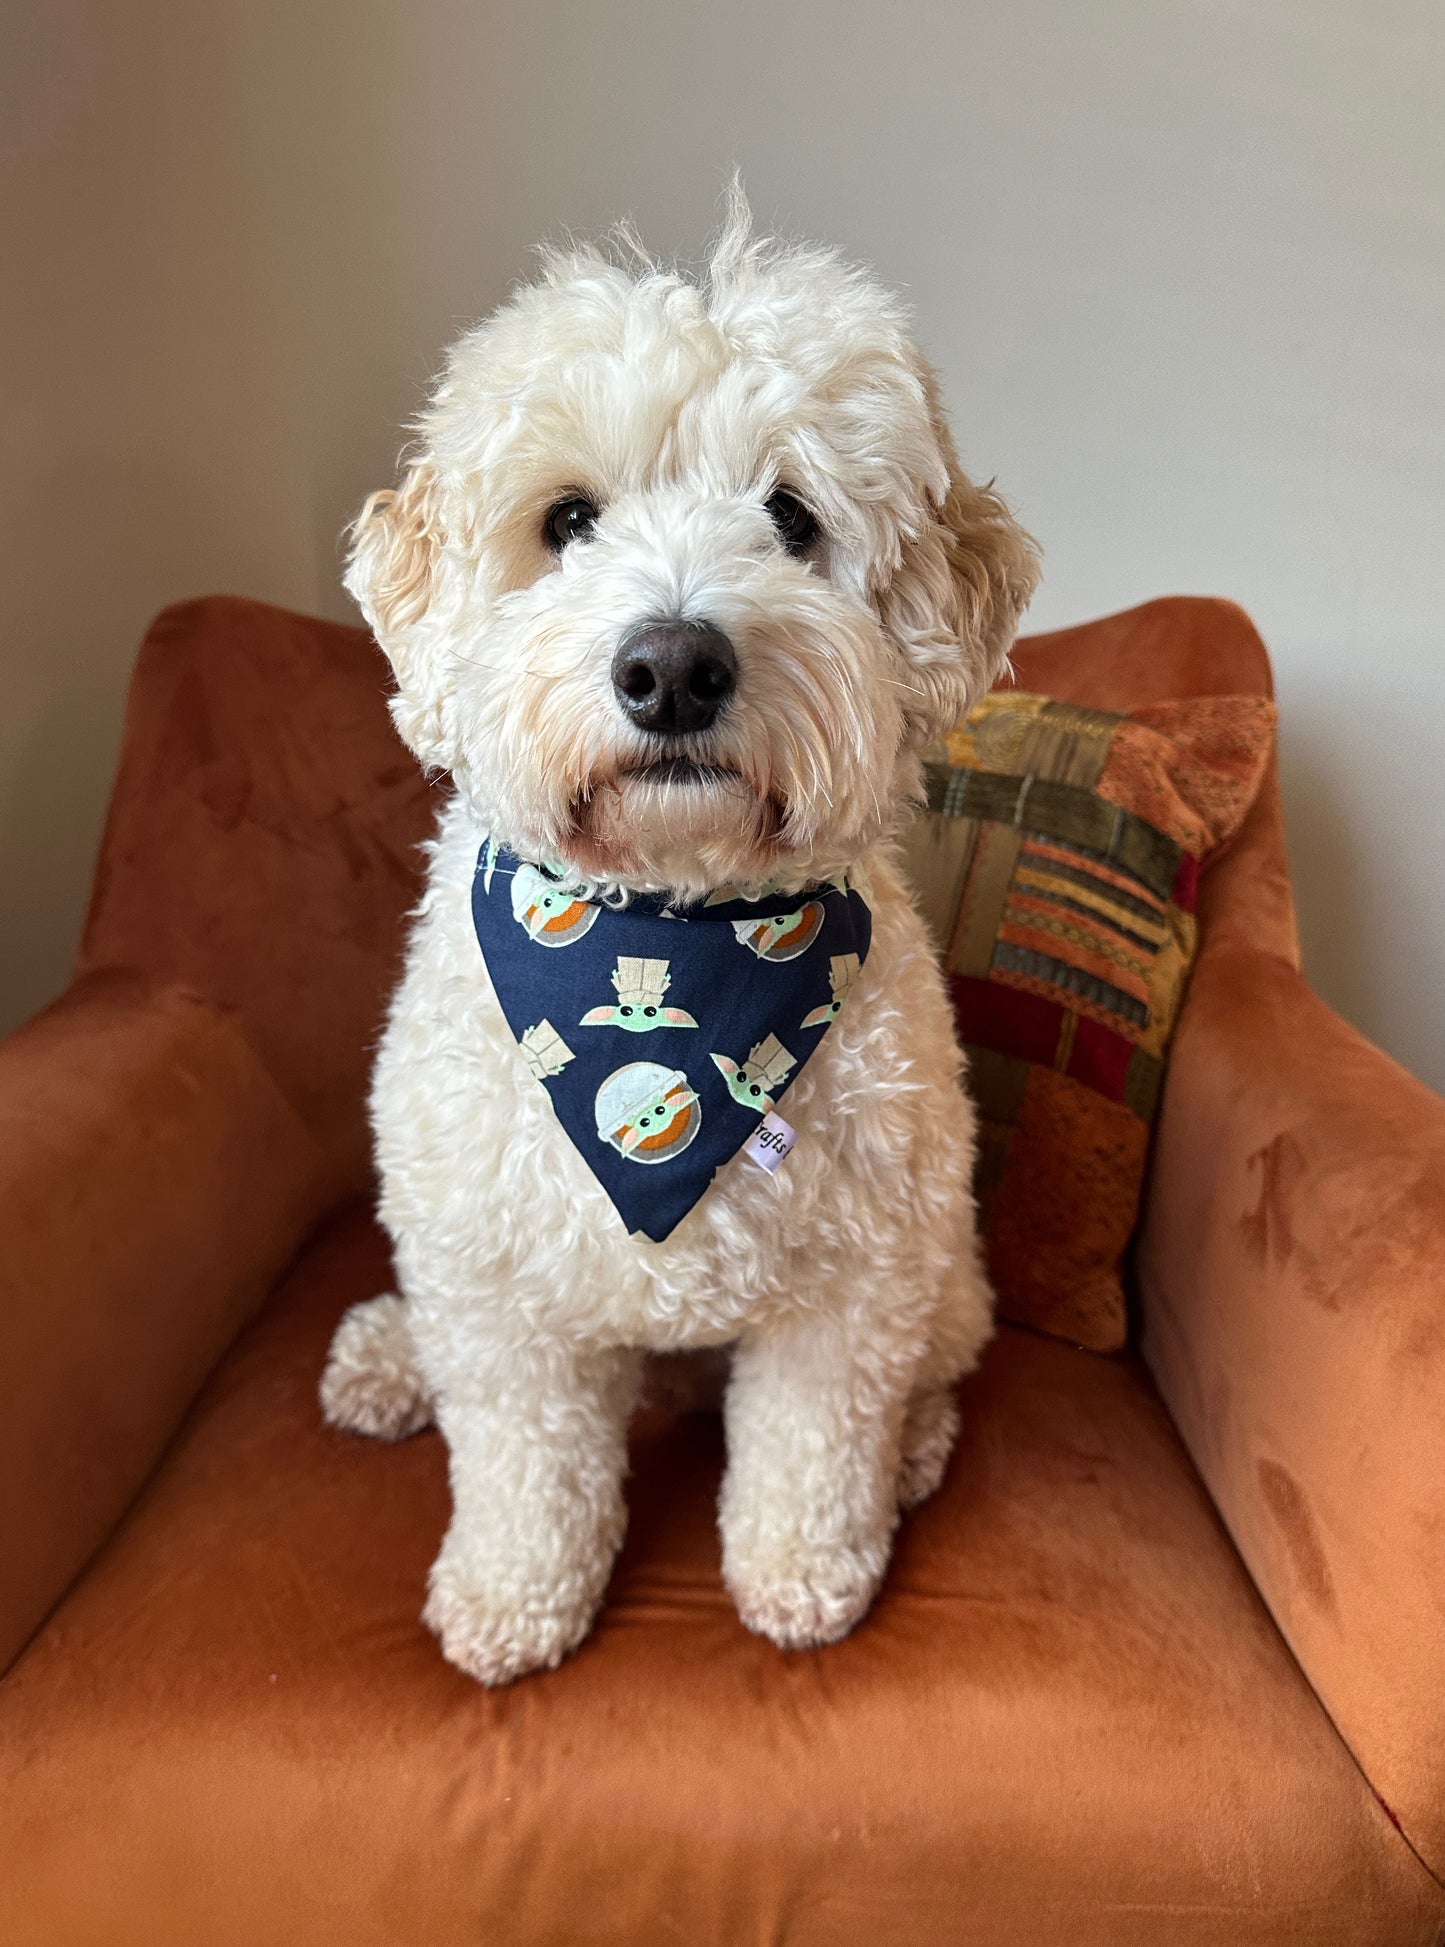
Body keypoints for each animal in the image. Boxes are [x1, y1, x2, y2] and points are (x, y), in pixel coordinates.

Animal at [321, 197, 1036, 1689]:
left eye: (792, 518)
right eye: (566, 520)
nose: (671, 667)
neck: (671, 923)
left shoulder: (852, 1282)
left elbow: (812, 1447)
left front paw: (806, 1576)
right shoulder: (502, 1295)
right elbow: (523, 1464)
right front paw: (512, 1597)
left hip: (942, 1264)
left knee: (938, 1356)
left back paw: (914, 1449)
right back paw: (387, 1358)